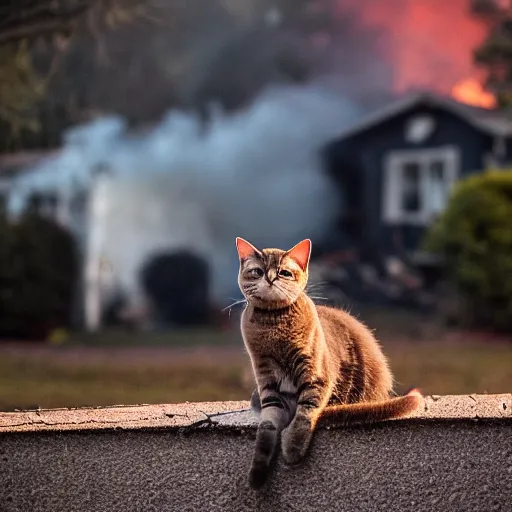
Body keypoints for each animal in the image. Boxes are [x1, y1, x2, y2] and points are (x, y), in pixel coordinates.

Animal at [234, 238, 422, 490]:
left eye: (284, 272)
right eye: (257, 272)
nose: (271, 278)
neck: (274, 325)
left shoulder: (316, 376)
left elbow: (305, 413)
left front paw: (293, 447)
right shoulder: (268, 384)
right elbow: (267, 428)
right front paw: (256, 474)